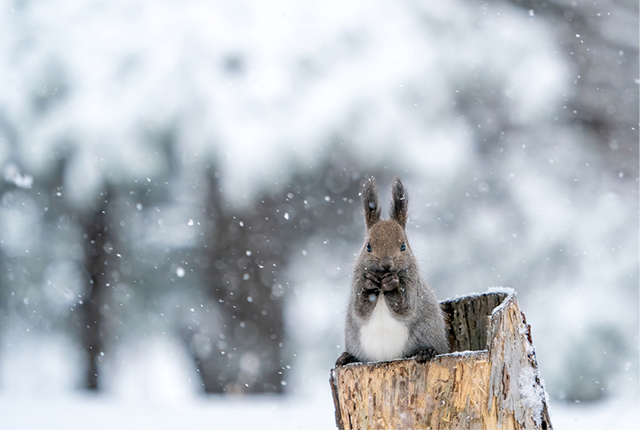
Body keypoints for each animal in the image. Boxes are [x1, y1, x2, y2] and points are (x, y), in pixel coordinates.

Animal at [338, 176, 448, 366]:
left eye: (403, 246)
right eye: (368, 246)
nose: (386, 264)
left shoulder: (413, 285)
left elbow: (406, 306)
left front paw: (392, 283)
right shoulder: (355, 282)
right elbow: (359, 309)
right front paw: (368, 283)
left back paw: (426, 352)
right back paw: (347, 357)